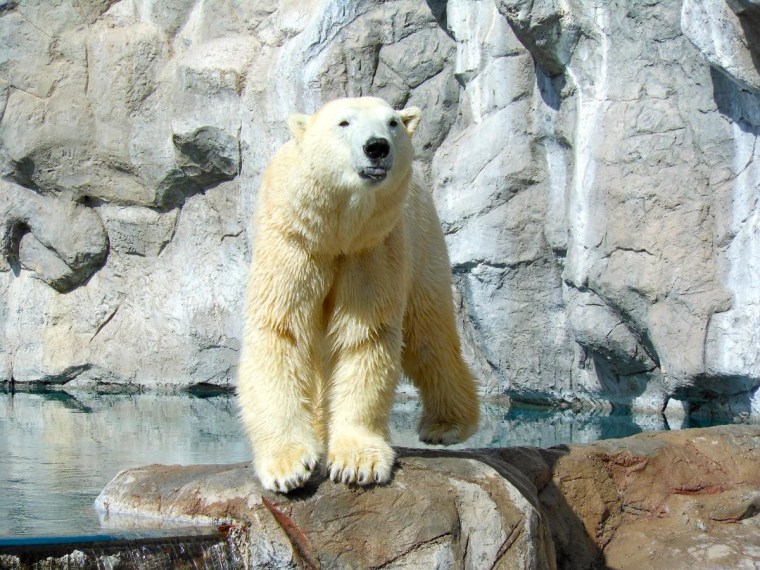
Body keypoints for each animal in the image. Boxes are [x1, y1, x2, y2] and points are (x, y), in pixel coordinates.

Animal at [238, 95, 478, 490]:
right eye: (344, 123)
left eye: (392, 122)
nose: (377, 147)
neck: (336, 232)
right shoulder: (294, 240)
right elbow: (282, 331)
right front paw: (289, 467)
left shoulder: (372, 249)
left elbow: (363, 337)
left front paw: (356, 463)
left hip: (421, 239)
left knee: (428, 333)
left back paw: (447, 425)